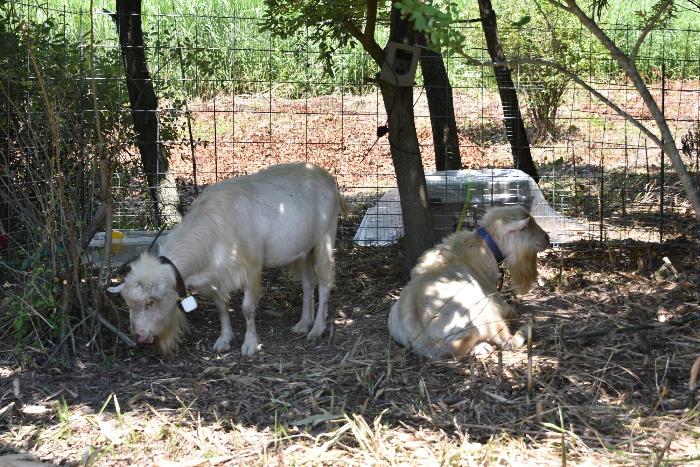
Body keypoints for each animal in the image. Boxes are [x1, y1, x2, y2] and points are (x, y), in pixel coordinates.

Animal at [108, 164, 346, 358]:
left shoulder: (251, 267)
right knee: (308, 284)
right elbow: (221, 307)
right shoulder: (215, 275)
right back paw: (303, 323)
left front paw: (250, 345)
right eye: (128, 303)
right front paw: (224, 339)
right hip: (302, 250)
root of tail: (326, 176)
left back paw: (316, 329)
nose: (137, 336)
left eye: (150, 302)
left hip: (325, 237)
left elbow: (247, 308)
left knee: (324, 284)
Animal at [386, 205, 548, 358]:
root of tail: (431, 342)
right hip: (484, 312)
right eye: (525, 228)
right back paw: (527, 328)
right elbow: (511, 311)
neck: (483, 248)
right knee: (506, 342)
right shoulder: (495, 299)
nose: (547, 239)